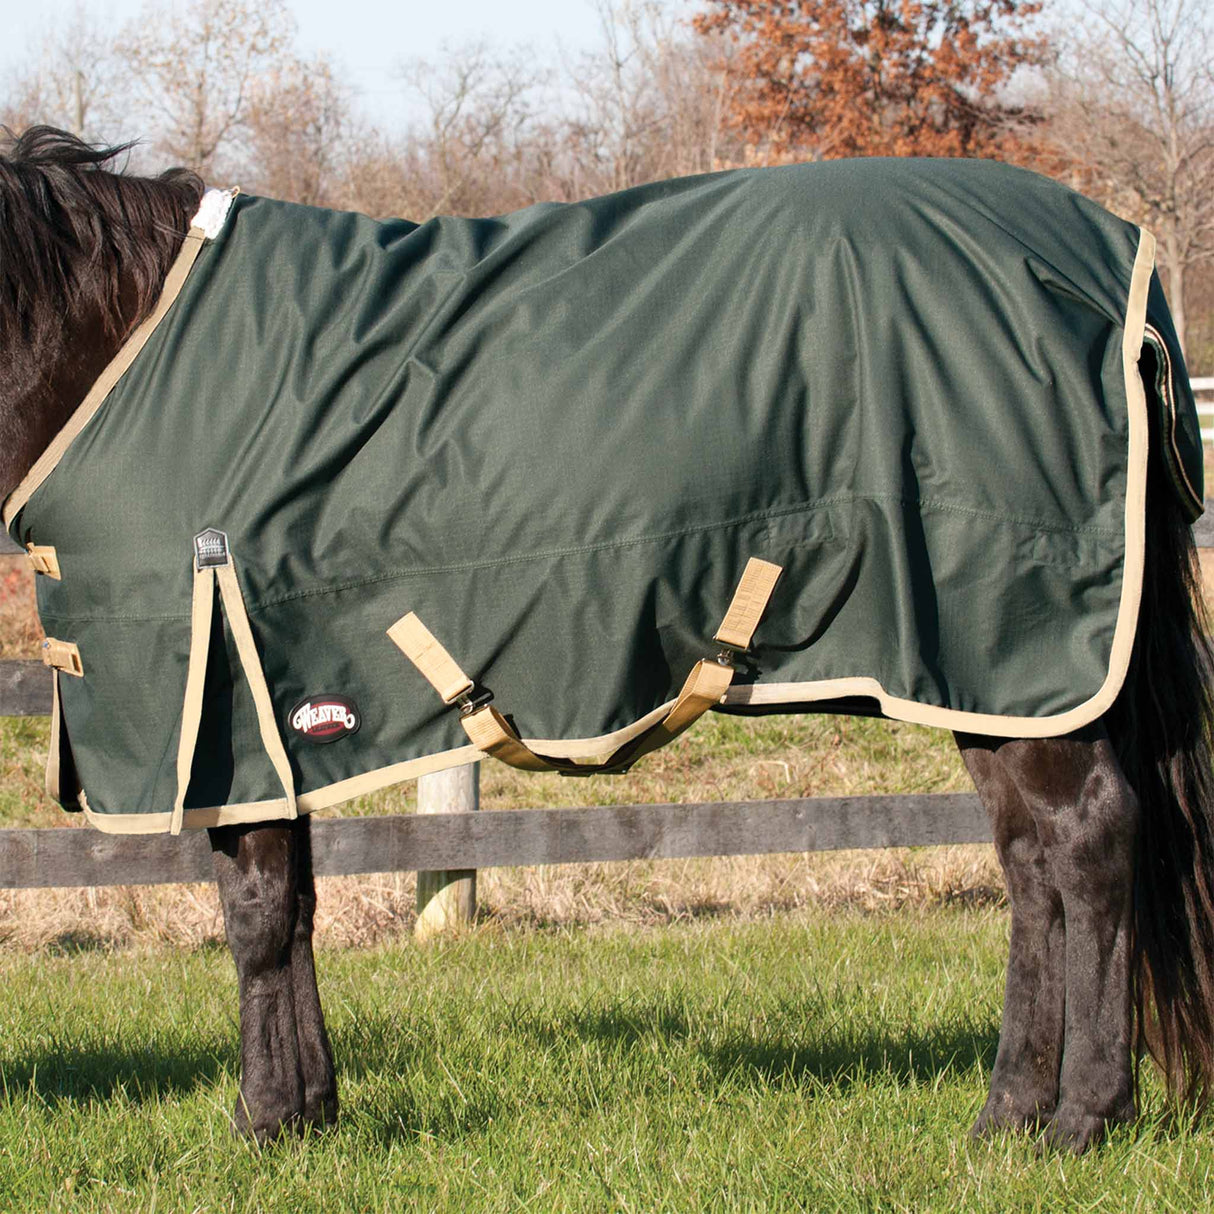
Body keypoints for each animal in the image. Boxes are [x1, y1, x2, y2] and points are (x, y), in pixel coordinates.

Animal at [2, 126, 1213, 1155]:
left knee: (1086, 843)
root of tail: (1111, 261)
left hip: (1018, 662)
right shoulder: (268, 706)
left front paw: (264, 1123)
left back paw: (1080, 1118)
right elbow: (293, 910)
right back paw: (1008, 1116)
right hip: (985, 683)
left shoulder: (222, 699)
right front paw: (308, 1114)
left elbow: (253, 917)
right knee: (1029, 864)